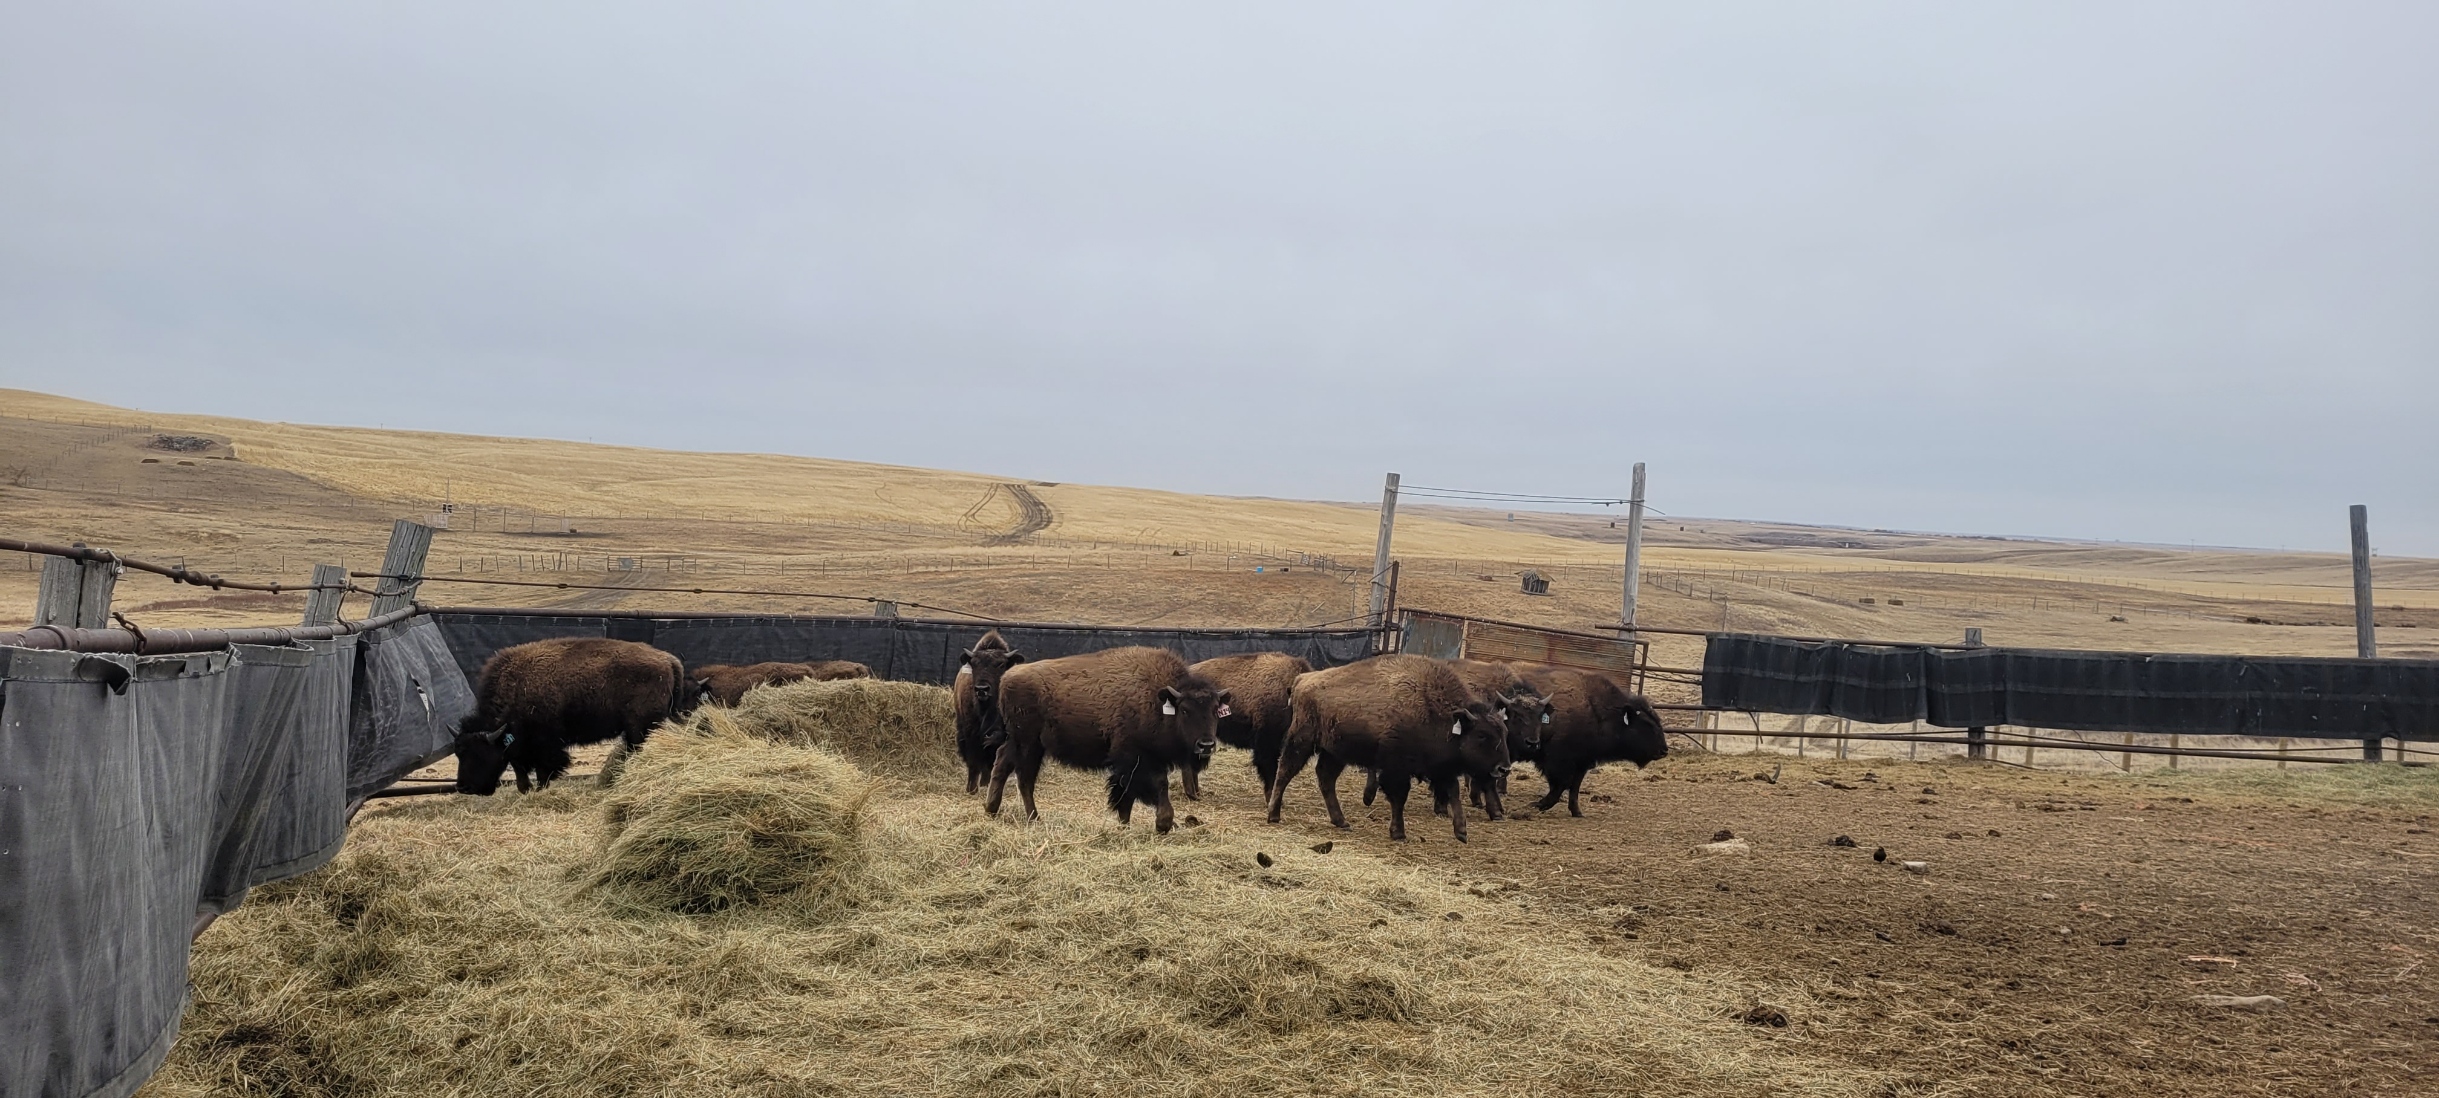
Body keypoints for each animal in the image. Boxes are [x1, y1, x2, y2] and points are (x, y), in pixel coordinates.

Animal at [453, 637, 705, 795]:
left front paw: (540, 789)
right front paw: (525, 790)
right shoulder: (519, 746)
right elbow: (519, 768)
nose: (463, 788)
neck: (516, 687)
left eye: (478, 753)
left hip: (640, 727)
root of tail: (668, 660)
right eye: (458, 752)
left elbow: (544, 770)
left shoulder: (546, 745)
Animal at [954, 630, 1025, 795]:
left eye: (1001, 664)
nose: (982, 689)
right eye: (974, 664)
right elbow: (974, 762)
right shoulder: (971, 733)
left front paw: (986, 785)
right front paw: (971, 789)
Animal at [985, 646, 1228, 833]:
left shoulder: (1135, 764)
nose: (1206, 745)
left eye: (1216, 710)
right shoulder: (1136, 759)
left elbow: (1126, 795)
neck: (1157, 700)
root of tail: (1008, 677)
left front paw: (1125, 825)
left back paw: (991, 809)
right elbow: (1156, 786)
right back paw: (1033, 818)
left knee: (1002, 763)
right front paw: (1163, 824)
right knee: (1024, 778)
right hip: (1028, 744)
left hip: (1021, 742)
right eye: (1185, 710)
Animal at [1266, 654, 1512, 842]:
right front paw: (1399, 833)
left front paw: (1461, 832)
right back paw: (1273, 814)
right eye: (1482, 735)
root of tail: (1302, 679)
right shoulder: (1397, 768)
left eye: (1504, 732)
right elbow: (1399, 797)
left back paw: (1341, 821)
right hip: (1302, 740)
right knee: (1285, 771)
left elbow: (1453, 791)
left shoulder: (1441, 768)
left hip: (1335, 752)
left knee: (1326, 779)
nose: (1504, 769)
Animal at [1512, 665, 1670, 816]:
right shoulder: (1557, 762)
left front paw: (1577, 812)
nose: (1664, 750)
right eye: (1647, 724)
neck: (1596, 710)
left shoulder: (1582, 763)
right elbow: (1560, 786)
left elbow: (1574, 787)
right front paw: (1537, 805)